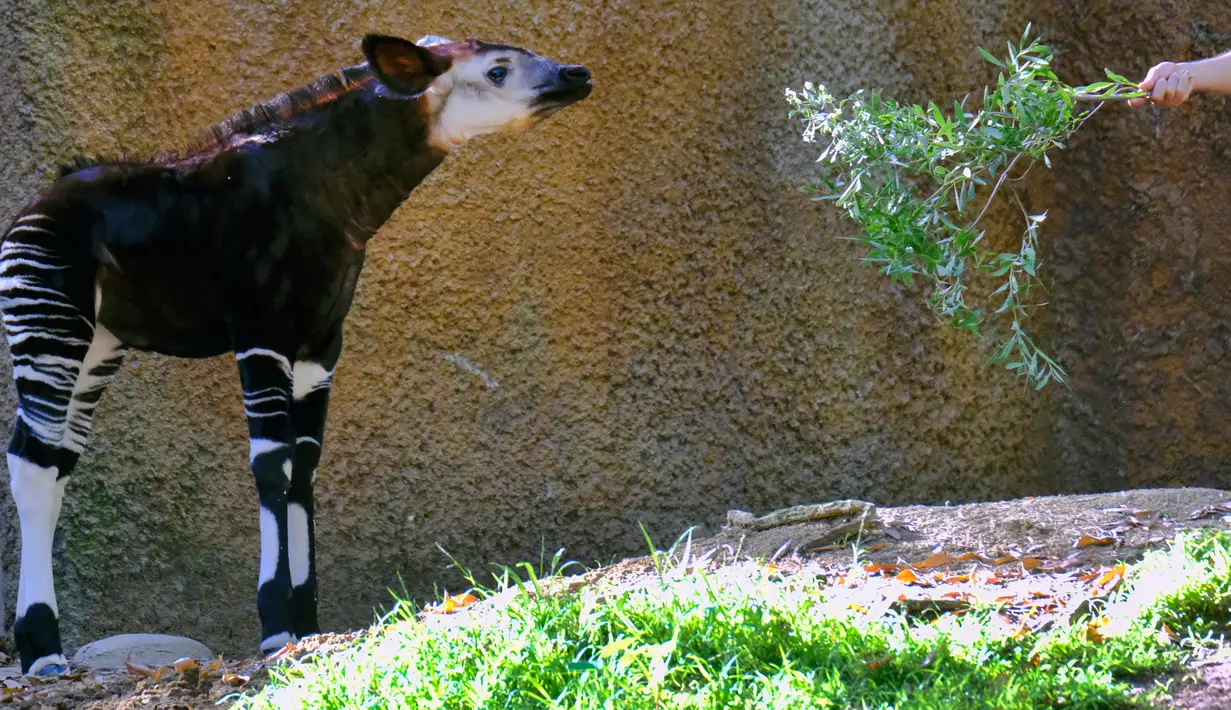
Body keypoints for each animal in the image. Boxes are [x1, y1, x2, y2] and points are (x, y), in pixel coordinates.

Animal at [0, 33, 590, 674]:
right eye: (498, 71)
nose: (577, 74)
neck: (330, 190)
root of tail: (29, 209)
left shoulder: (320, 345)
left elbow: (304, 469)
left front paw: (307, 620)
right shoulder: (262, 332)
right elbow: (272, 465)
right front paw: (275, 623)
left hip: (97, 346)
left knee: (51, 459)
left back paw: (37, 644)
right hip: (51, 323)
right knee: (34, 463)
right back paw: (42, 652)